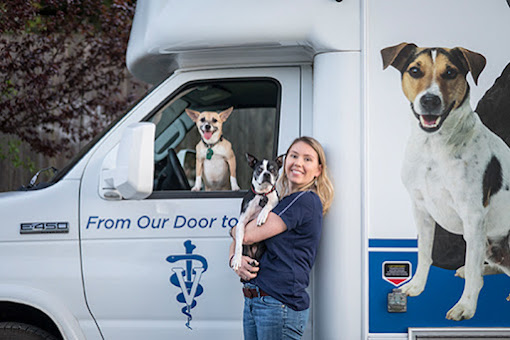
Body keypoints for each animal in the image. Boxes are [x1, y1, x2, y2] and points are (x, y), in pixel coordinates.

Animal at [382, 43, 510, 322]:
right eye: (415, 70)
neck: (434, 146)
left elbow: (472, 273)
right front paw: (416, 286)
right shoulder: (421, 209)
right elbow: (424, 253)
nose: (429, 101)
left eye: (450, 72)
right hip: (486, 243)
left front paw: (466, 307)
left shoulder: (473, 216)